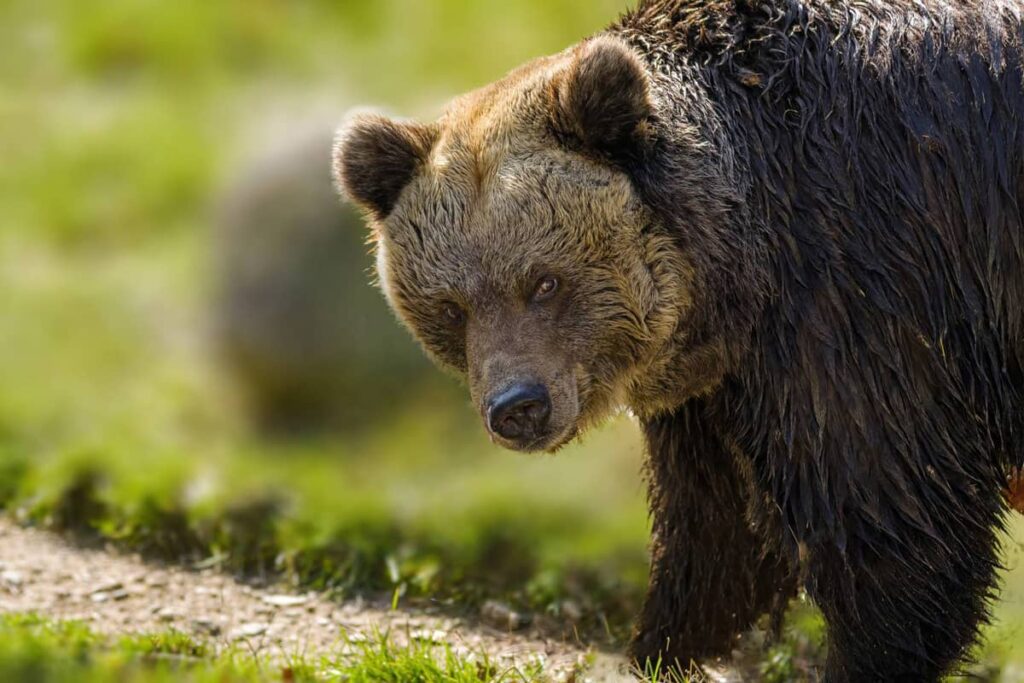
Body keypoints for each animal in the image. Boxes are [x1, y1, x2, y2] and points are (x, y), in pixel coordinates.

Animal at [333, 1, 1024, 680]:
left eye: (545, 282)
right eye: (452, 307)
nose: (517, 407)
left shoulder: (865, 287)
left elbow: (891, 517)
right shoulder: (711, 389)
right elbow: (715, 529)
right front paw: (666, 643)